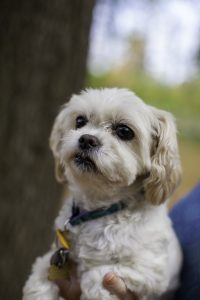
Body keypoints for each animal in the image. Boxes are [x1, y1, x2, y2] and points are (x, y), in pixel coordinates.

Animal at [22, 88, 182, 300]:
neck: (98, 209)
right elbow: (40, 276)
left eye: (124, 131)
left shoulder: (150, 271)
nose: (87, 139)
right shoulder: (54, 256)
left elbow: (98, 274)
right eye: (80, 121)